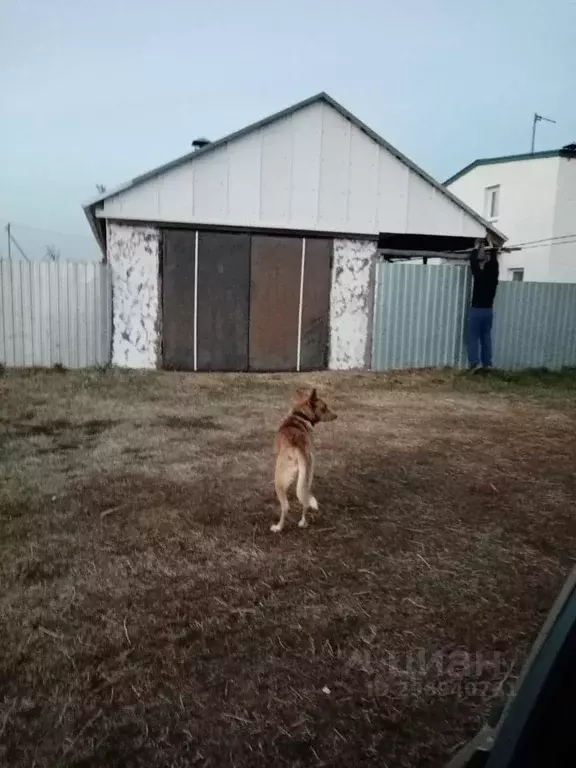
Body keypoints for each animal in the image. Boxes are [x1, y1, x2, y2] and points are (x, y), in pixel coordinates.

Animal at [272, 388, 338, 532]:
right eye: (324, 408)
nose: (336, 416)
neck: (300, 415)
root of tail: (297, 448)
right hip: (307, 476)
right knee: (305, 501)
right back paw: (303, 522)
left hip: (278, 480)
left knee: (286, 507)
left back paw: (278, 527)